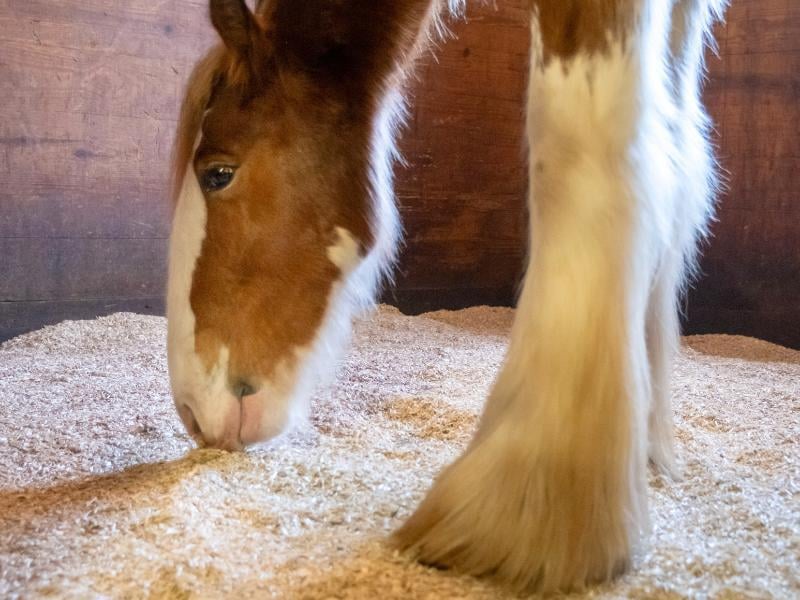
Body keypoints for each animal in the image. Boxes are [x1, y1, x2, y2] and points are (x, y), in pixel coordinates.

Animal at [166, 0, 727, 593]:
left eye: (218, 174)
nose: (191, 414)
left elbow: (580, 152)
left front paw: (520, 510)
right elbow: (675, 158)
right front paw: (641, 444)